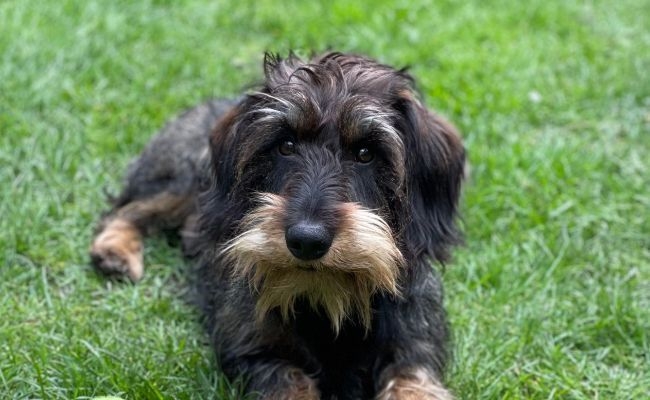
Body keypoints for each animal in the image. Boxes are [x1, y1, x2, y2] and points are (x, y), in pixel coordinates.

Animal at [92, 51, 466, 398]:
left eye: (365, 153)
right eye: (286, 145)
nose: (307, 241)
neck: (325, 300)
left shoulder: (414, 348)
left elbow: (413, 382)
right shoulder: (257, 354)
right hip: (181, 181)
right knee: (126, 211)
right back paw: (114, 251)